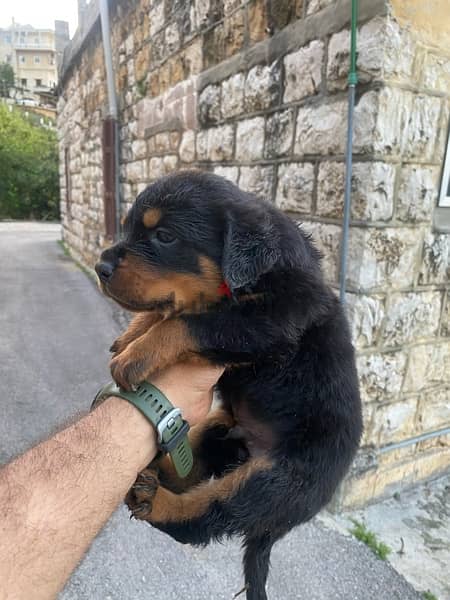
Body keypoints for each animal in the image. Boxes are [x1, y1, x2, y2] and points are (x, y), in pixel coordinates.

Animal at [95, 170, 362, 600]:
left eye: (164, 236)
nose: (99, 266)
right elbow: (173, 310)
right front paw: (133, 334)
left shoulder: (270, 319)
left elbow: (190, 321)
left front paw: (135, 355)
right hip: (220, 428)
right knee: (190, 471)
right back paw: (149, 470)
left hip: (273, 482)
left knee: (206, 517)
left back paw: (153, 500)